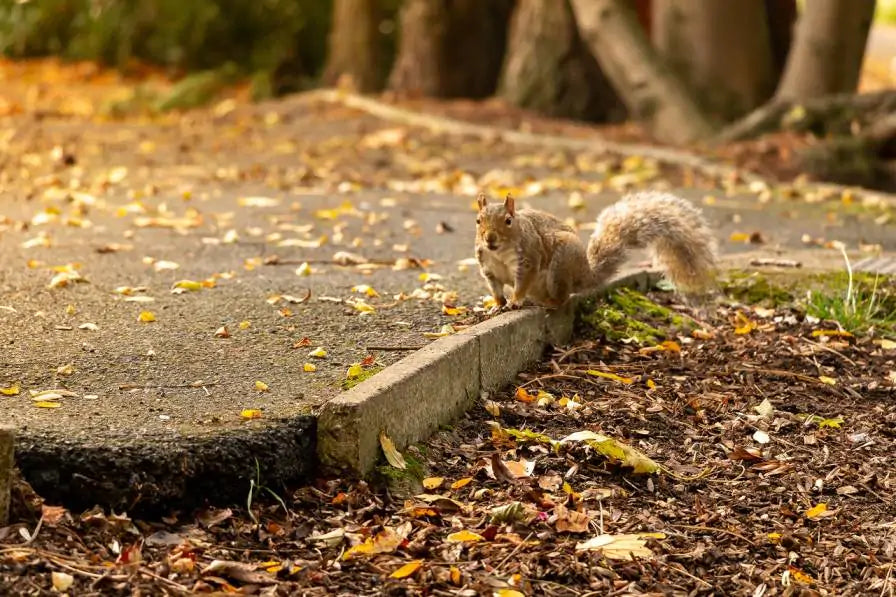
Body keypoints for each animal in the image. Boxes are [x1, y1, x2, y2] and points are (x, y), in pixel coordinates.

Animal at [476, 191, 712, 312]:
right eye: (478, 220)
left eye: (508, 221)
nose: (489, 238)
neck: (498, 252)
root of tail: (584, 274)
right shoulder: (488, 269)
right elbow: (496, 289)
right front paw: (498, 305)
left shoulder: (529, 259)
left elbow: (522, 284)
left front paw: (515, 301)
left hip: (560, 267)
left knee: (563, 298)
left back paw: (549, 303)